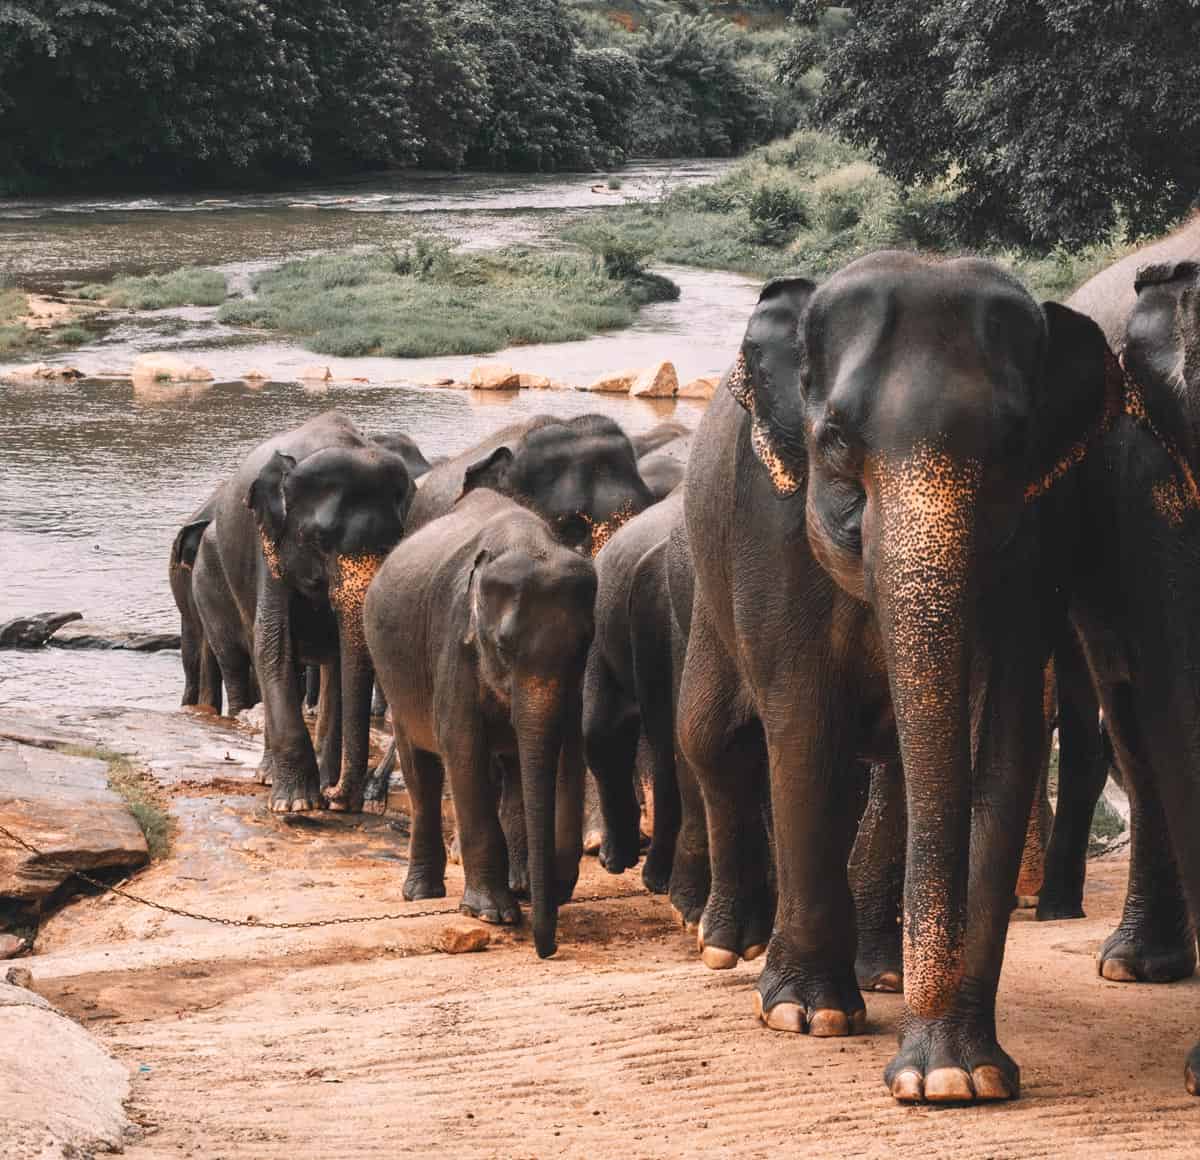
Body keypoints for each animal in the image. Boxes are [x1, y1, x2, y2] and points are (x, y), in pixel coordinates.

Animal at [196, 410, 414, 813]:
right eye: (319, 540)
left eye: (395, 540)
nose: (336, 797)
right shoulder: (267, 546)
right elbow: (272, 644)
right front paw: (297, 804)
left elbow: (342, 657)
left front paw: (325, 793)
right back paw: (270, 777)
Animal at [364, 489, 597, 959]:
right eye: (503, 646)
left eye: (585, 643)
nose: (547, 950)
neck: (528, 542)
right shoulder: (455, 642)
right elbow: (462, 748)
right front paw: (492, 914)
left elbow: (563, 751)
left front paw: (540, 890)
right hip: (395, 675)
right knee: (422, 770)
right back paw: (422, 894)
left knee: (513, 768)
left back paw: (518, 884)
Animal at [676, 251, 1117, 1104]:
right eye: (835, 440)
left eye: (1015, 443)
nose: (915, 1069)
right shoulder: (767, 526)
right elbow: (804, 732)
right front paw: (808, 1017)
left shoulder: (1040, 538)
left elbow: (1001, 748)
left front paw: (956, 1076)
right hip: (708, 585)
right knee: (713, 739)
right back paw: (728, 947)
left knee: (896, 776)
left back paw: (882, 973)